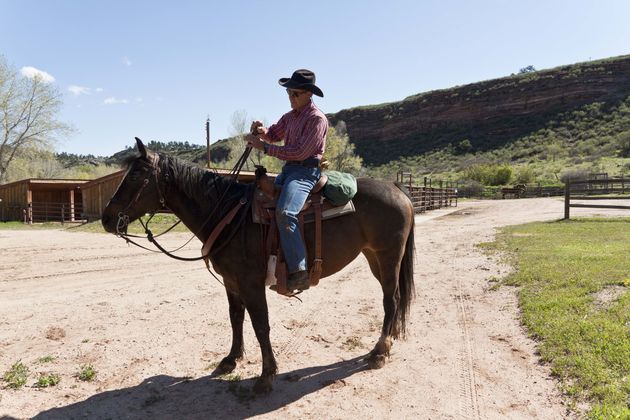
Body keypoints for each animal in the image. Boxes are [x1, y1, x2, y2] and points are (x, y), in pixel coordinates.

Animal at [101, 139, 418, 394]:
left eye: (136, 176)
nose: (106, 218)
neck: (229, 213)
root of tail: (396, 187)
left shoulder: (252, 284)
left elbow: (261, 325)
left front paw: (266, 376)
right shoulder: (231, 282)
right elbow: (236, 319)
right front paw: (231, 360)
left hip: (388, 257)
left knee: (391, 300)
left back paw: (379, 352)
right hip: (373, 257)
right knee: (393, 300)